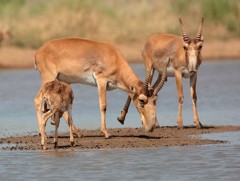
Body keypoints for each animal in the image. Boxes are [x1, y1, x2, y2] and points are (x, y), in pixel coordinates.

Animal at [34, 37, 169, 138]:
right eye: (141, 100)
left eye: (155, 99)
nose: (151, 127)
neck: (113, 57)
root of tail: (38, 52)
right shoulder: (101, 81)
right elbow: (103, 106)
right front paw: (106, 132)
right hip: (48, 77)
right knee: (37, 100)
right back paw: (43, 133)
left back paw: (76, 132)